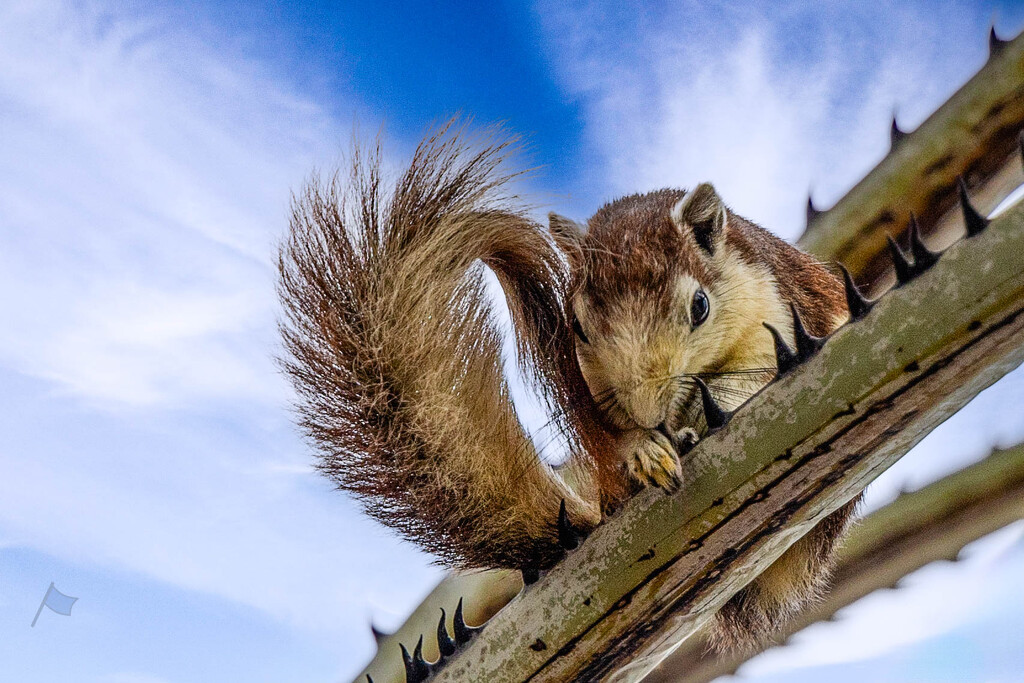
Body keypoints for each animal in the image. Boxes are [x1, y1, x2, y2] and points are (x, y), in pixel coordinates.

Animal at [278, 121, 864, 651]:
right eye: (575, 327)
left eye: (700, 306)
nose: (651, 415)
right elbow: (621, 438)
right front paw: (643, 451)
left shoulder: (777, 322)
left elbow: (751, 382)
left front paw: (701, 415)